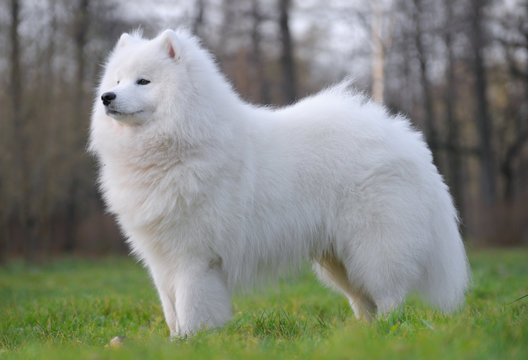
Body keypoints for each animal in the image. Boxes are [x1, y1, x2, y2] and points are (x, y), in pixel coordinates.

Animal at [87, 29, 470, 336]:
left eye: (143, 81)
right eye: (117, 81)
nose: (107, 97)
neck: (180, 143)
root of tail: (409, 141)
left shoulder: (193, 259)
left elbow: (190, 308)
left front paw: (192, 342)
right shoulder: (162, 259)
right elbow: (171, 312)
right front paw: (175, 341)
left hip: (374, 247)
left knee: (390, 296)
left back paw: (389, 333)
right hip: (341, 260)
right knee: (365, 302)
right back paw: (364, 335)